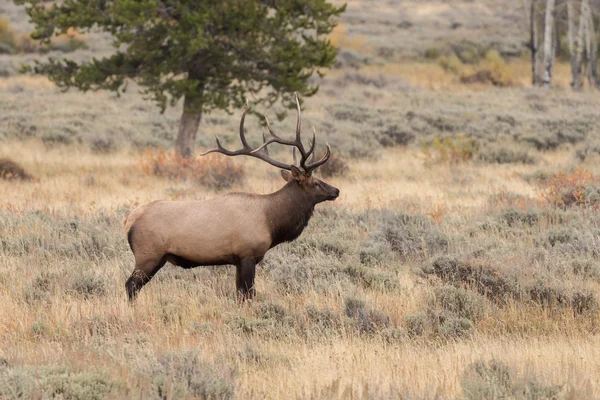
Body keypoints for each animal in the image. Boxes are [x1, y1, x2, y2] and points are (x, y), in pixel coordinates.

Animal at [124, 94, 340, 300]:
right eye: (316, 183)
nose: (336, 191)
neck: (271, 222)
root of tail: (128, 221)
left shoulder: (238, 260)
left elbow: (240, 293)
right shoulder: (247, 254)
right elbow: (248, 293)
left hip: (157, 258)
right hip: (148, 255)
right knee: (130, 285)